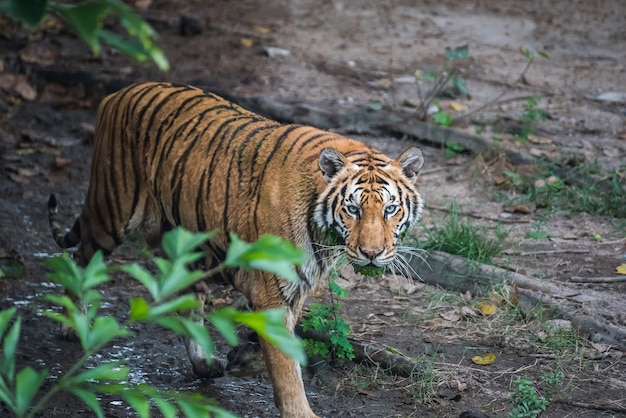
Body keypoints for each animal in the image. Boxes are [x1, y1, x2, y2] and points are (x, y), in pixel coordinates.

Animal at [46, 81, 422, 418]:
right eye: (353, 209)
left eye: (390, 209)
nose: (372, 253)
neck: (326, 238)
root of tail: (119, 92)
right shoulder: (272, 289)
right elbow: (286, 363)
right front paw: (299, 411)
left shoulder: (292, 289)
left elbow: (284, 343)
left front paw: (242, 358)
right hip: (112, 210)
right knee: (80, 258)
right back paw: (71, 325)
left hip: (187, 243)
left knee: (190, 301)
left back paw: (203, 362)